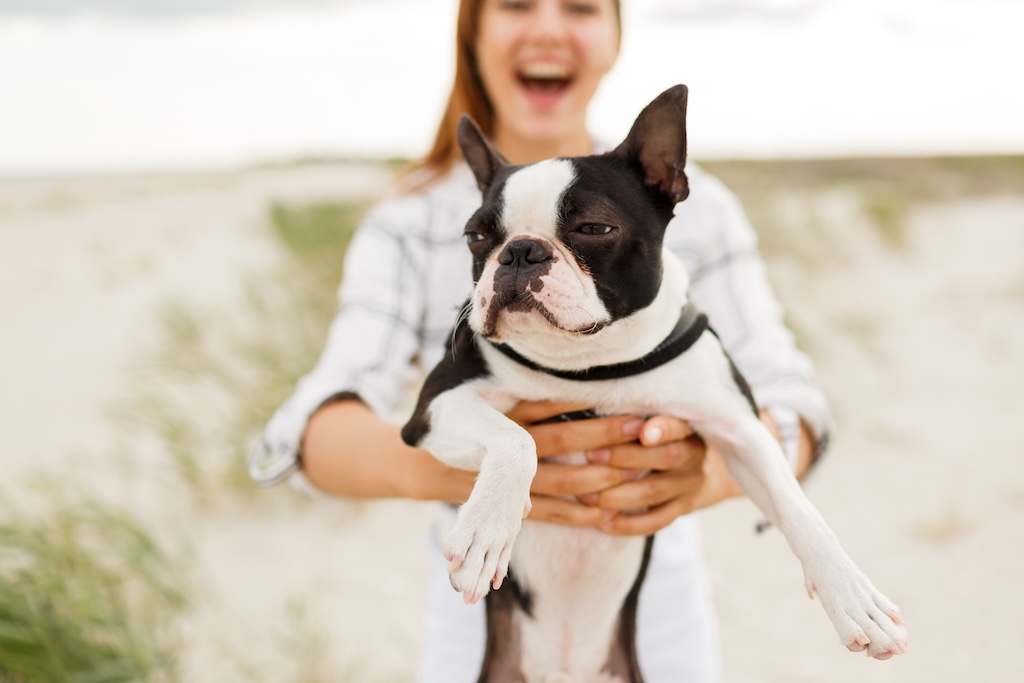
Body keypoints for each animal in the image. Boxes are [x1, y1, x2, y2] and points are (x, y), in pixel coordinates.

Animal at [399, 87, 905, 683]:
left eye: (594, 229)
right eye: (476, 236)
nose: (520, 250)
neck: (592, 363)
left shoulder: (741, 430)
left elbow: (801, 511)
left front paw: (853, 597)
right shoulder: (432, 408)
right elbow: (516, 439)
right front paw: (485, 533)